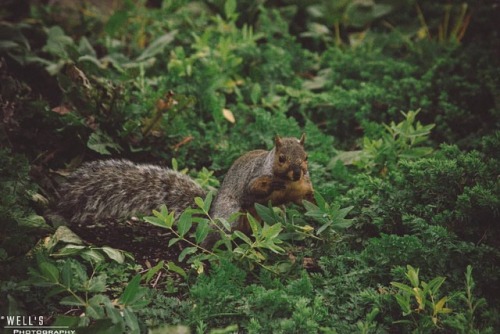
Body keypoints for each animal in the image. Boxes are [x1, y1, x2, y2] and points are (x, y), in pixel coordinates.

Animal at [53, 134, 312, 247]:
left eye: (306, 157)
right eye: (281, 158)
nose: (297, 173)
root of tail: (209, 214)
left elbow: (304, 197)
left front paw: (311, 201)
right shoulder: (253, 176)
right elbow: (252, 190)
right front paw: (273, 185)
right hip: (229, 214)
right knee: (214, 239)